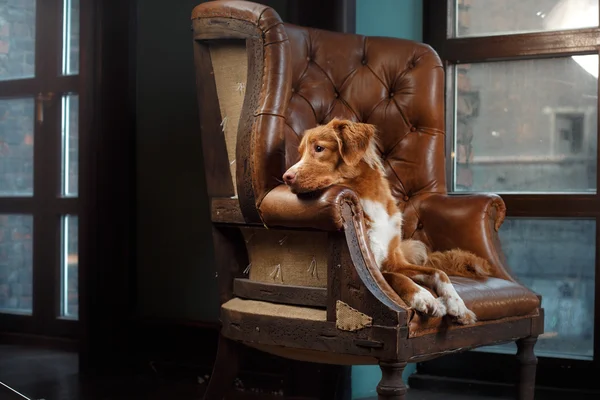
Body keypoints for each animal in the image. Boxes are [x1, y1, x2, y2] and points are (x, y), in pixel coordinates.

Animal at [282, 117, 492, 324]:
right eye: (300, 153)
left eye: (319, 148)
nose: (286, 177)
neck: (365, 198)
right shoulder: (373, 269)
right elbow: (397, 278)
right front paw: (426, 298)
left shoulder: (394, 262)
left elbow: (438, 272)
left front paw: (458, 304)